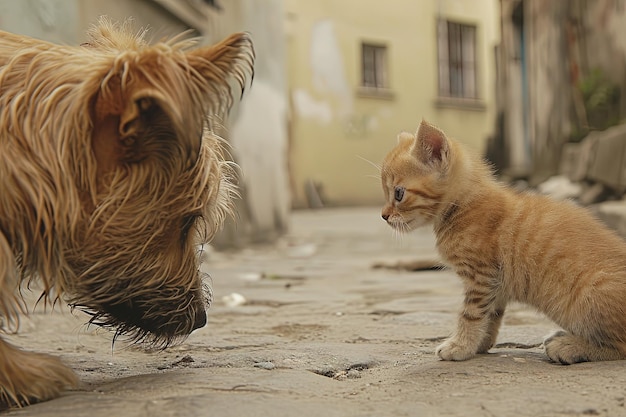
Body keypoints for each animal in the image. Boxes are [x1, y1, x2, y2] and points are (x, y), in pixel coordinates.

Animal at [378, 118, 624, 362]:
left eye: (398, 194)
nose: (384, 215)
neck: (463, 206)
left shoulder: (481, 275)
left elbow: (470, 314)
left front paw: (460, 346)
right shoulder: (495, 283)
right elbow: (491, 315)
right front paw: (479, 344)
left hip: (590, 295)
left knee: (621, 346)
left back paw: (568, 346)